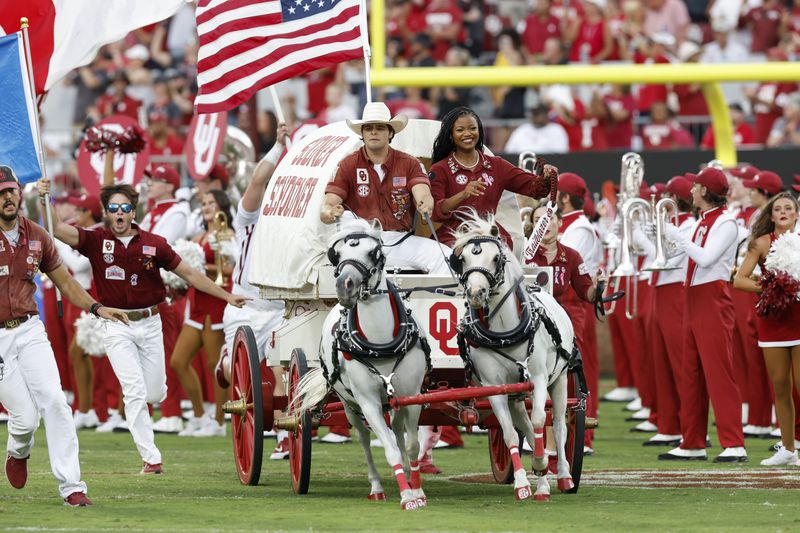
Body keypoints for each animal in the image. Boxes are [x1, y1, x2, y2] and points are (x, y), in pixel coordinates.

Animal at [288, 218, 428, 510]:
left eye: (375, 252)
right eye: (336, 254)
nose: (345, 286)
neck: (381, 342)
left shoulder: (413, 396)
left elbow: (411, 445)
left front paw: (417, 489)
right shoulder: (368, 402)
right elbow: (388, 448)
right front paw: (406, 495)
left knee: (397, 430)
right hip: (348, 403)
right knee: (364, 438)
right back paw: (376, 487)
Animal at [446, 211, 580, 498]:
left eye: (495, 258)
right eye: (463, 259)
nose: (476, 294)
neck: (504, 332)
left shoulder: (538, 379)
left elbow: (541, 420)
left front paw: (542, 465)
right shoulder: (494, 387)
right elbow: (508, 433)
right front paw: (522, 482)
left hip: (561, 380)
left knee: (560, 424)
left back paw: (563, 476)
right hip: (514, 394)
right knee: (524, 424)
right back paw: (542, 480)